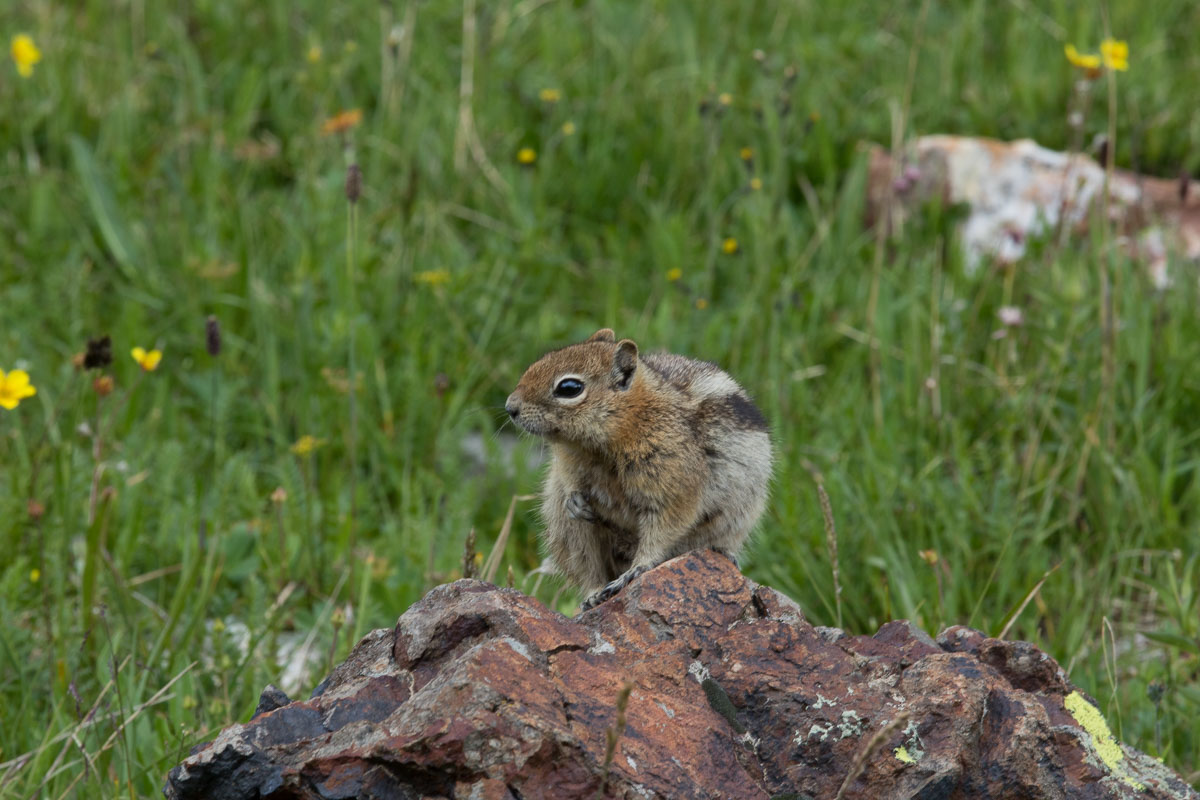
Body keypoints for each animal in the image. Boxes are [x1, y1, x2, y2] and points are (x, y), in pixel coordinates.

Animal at [504, 328, 768, 609]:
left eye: (569, 388)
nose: (510, 407)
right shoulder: (567, 465)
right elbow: (570, 484)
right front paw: (574, 501)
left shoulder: (673, 486)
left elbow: (664, 528)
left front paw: (637, 568)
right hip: (569, 531)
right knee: (588, 567)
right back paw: (594, 595)